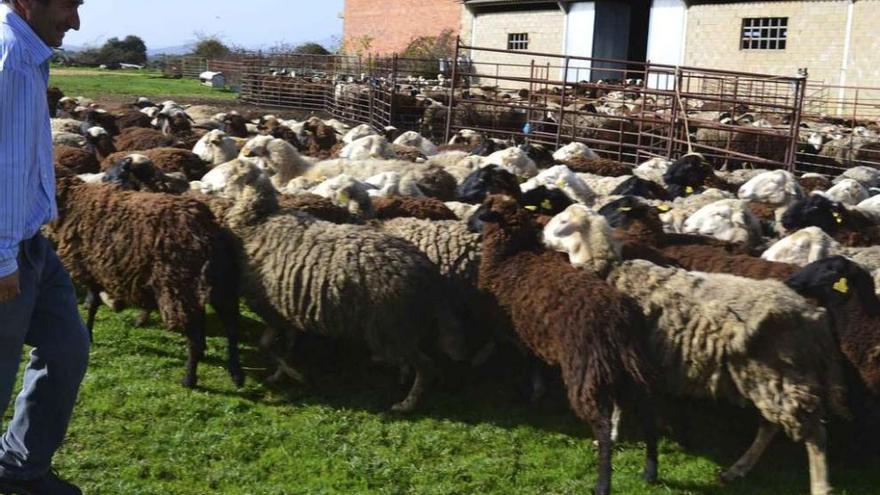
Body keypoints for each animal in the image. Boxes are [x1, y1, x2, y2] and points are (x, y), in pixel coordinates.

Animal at [46, 176, 242, 390]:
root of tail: (208, 232)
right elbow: (94, 304)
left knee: (196, 338)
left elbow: (92, 306)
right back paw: (236, 374)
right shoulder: (95, 270)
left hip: (178, 288)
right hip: (219, 286)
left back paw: (189, 380)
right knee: (232, 327)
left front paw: (88, 334)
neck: (72, 200)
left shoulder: (89, 268)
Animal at [220, 161, 464, 412]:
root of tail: (427, 273)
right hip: (399, 328)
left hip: (391, 328)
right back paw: (402, 378)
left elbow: (266, 346)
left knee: (427, 367)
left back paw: (406, 404)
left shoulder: (268, 307)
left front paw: (294, 374)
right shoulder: (285, 311)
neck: (259, 220)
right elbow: (283, 346)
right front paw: (281, 374)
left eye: (231, 177)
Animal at [474, 196, 652, 495]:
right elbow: (534, 364)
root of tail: (616, 319)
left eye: (482, 208)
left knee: (603, 425)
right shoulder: (531, 333)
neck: (511, 256)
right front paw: (537, 393)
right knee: (651, 417)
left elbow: (524, 361)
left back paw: (603, 481)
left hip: (586, 370)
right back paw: (650, 470)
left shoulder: (514, 331)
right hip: (630, 368)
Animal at [544, 203, 844, 494]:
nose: (541, 235)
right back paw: (737, 470)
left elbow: (616, 406)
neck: (610, 271)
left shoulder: (619, 358)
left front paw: (612, 436)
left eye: (562, 221)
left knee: (814, 433)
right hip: (772, 377)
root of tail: (812, 315)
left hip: (779, 374)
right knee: (771, 426)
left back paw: (820, 486)